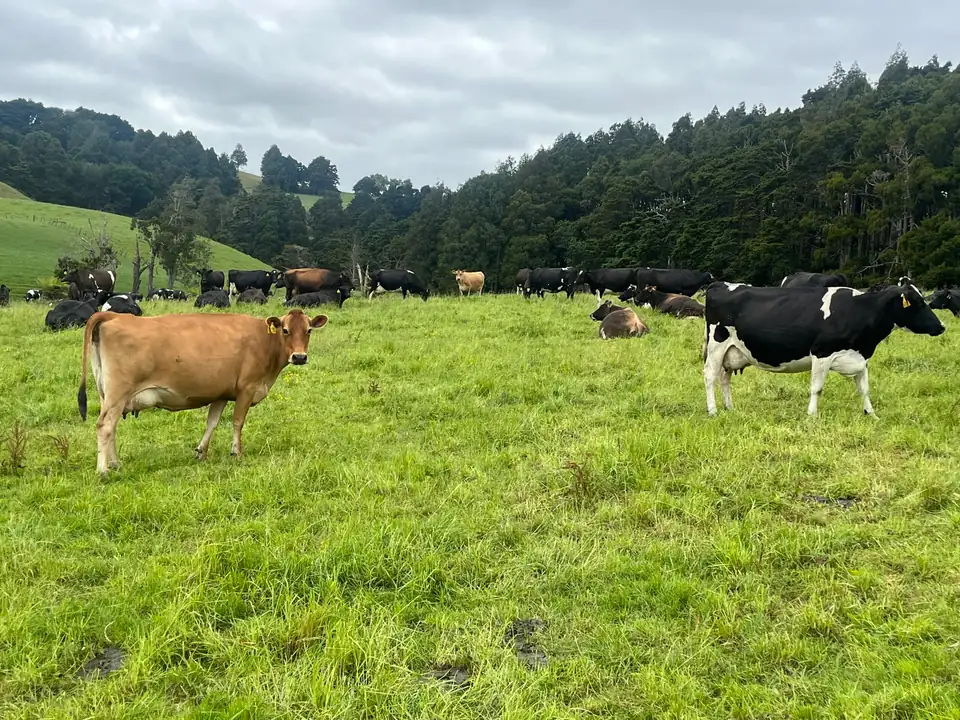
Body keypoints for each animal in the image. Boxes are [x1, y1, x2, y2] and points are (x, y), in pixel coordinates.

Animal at [77, 308, 328, 475]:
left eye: (308, 330)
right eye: (285, 330)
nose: (299, 357)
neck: (264, 341)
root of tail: (115, 315)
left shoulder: (221, 393)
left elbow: (212, 423)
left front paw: (201, 452)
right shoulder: (246, 388)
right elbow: (237, 422)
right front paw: (237, 452)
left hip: (107, 394)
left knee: (111, 427)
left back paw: (115, 463)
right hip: (118, 392)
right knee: (105, 425)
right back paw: (103, 471)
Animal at [702, 279, 945, 418]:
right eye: (917, 302)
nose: (942, 326)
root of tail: (720, 284)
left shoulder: (860, 357)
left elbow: (865, 389)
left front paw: (871, 414)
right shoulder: (822, 353)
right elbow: (816, 388)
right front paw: (812, 415)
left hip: (732, 352)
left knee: (724, 378)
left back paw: (730, 408)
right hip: (716, 344)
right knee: (710, 376)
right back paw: (713, 410)